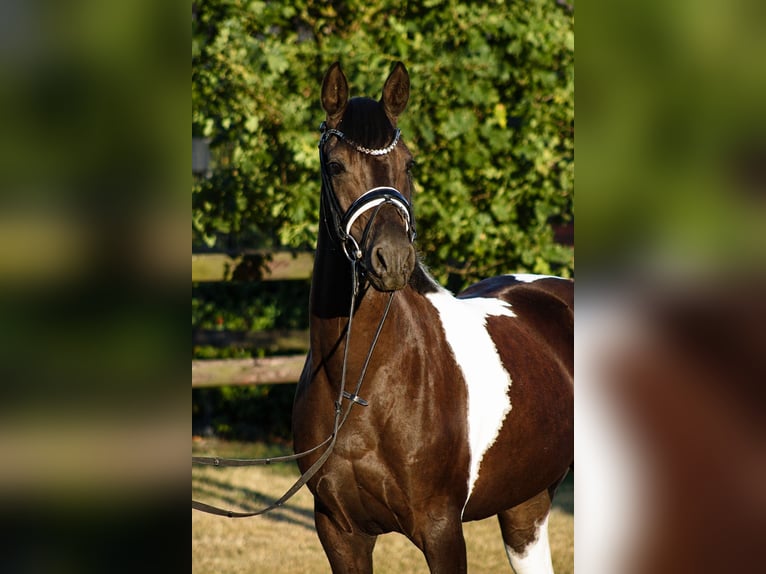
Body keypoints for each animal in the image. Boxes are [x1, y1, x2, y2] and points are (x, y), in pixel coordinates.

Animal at [292, 61, 573, 574]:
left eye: (409, 164)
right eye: (336, 166)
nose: (393, 259)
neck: (361, 386)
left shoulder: (441, 530)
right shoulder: (339, 533)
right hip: (526, 503)